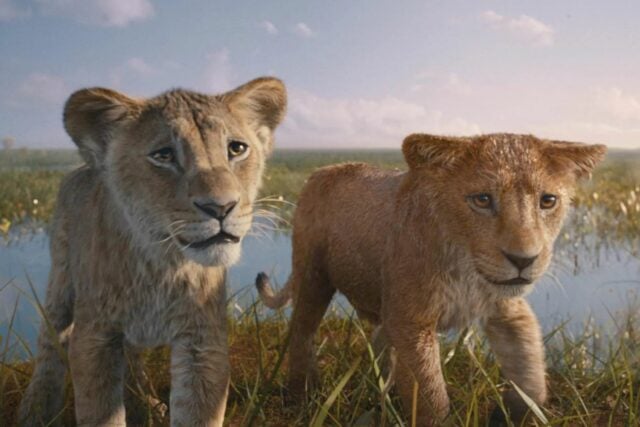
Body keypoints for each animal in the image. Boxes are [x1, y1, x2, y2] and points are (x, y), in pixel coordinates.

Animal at [18, 77, 287, 426]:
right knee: (51, 342)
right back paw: (34, 410)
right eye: (164, 155)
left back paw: (144, 403)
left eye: (236, 148)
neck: (162, 264)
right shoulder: (95, 338)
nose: (221, 207)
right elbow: (99, 411)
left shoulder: (202, 342)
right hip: (60, 279)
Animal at [256, 133, 606, 425]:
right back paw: (303, 395)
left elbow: (531, 371)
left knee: (380, 341)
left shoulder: (508, 311)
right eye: (482, 200)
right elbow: (431, 395)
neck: (466, 270)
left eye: (548, 201)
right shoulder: (412, 321)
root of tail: (322, 170)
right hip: (313, 275)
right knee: (302, 331)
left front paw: (512, 413)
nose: (524, 260)